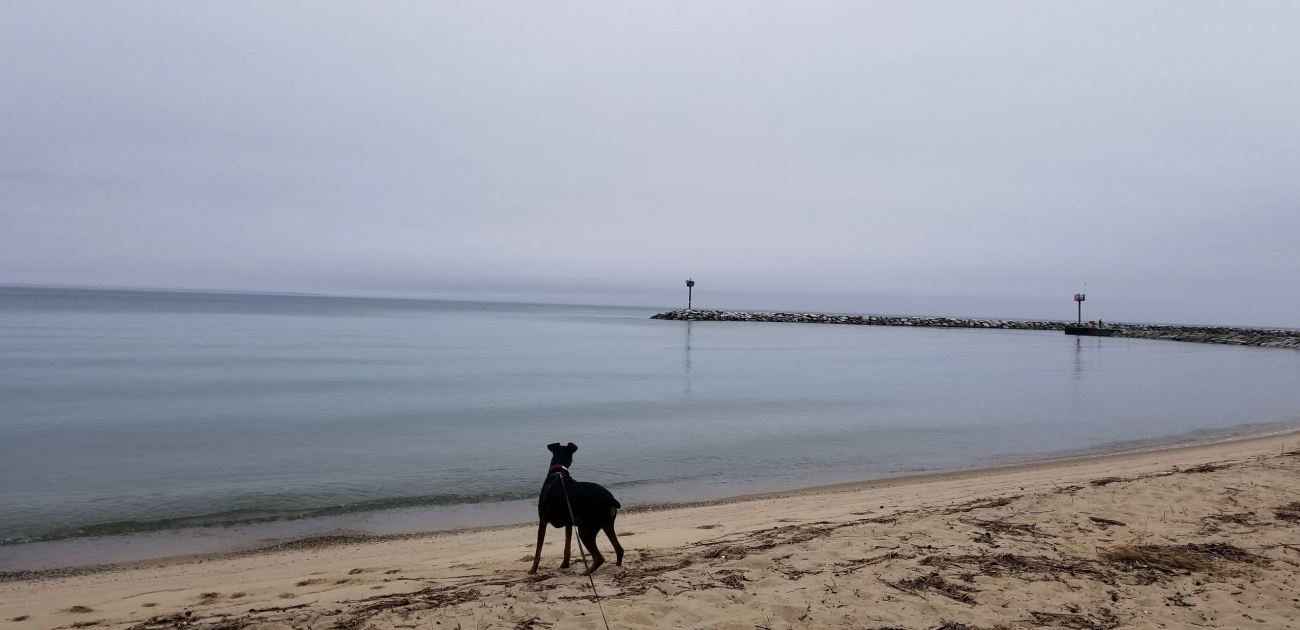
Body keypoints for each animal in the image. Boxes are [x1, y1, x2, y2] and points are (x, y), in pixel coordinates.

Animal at [525, 441, 621, 574]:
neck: (558, 472)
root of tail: (610, 499)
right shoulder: (569, 522)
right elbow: (567, 547)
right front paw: (564, 565)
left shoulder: (543, 521)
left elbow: (538, 551)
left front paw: (532, 570)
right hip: (607, 523)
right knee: (619, 549)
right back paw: (617, 567)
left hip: (586, 528)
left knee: (599, 557)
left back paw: (586, 573)